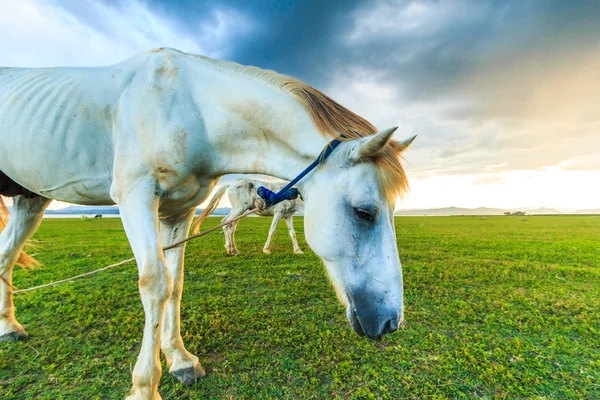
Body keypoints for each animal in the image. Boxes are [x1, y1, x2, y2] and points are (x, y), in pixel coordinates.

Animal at [0, 48, 412, 398]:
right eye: (364, 212)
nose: (390, 322)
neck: (190, 109)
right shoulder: (134, 196)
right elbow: (155, 284)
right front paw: (145, 385)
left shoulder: (178, 211)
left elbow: (176, 284)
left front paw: (181, 361)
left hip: (29, 199)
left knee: (6, 257)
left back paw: (9, 327)